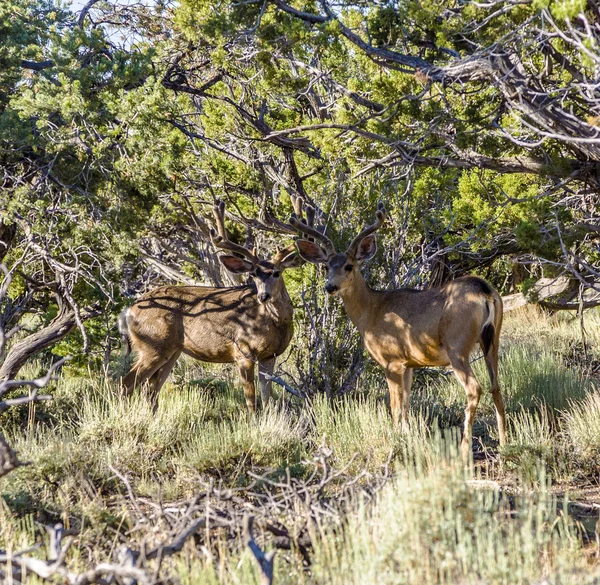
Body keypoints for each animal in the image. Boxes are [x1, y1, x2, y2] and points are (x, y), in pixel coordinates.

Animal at [118, 201, 304, 410]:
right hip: (152, 344)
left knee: (150, 391)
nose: (263, 296)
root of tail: (128, 311)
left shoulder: (270, 356)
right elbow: (251, 401)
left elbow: (268, 399)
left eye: (276, 273)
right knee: (126, 384)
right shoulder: (243, 351)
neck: (274, 323)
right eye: (254, 274)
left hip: (171, 350)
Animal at [290, 203, 506, 458]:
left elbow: (394, 406)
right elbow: (405, 405)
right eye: (326, 266)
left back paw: (464, 448)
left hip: (457, 345)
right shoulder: (409, 363)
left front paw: (396, 441)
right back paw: (505, 443)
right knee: (496, 387)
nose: (330, 286)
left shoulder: (391, 359)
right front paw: (408, 436)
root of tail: (485, 291)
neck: (371, 311)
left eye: (349, 266)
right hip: (492, 340)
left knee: (474, 388)